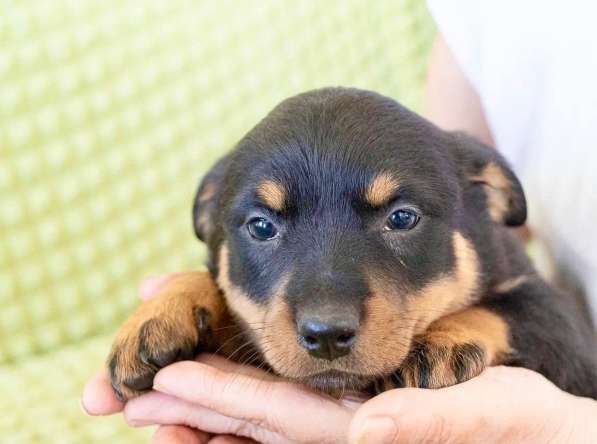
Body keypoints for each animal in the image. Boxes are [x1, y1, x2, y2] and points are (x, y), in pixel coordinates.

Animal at [108, 87, 596, 402]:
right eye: (261, 227)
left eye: (402, 218)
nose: (326, 335)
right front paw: (157, 315)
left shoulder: (569, 337)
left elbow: (506, 309)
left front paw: (441, 340)